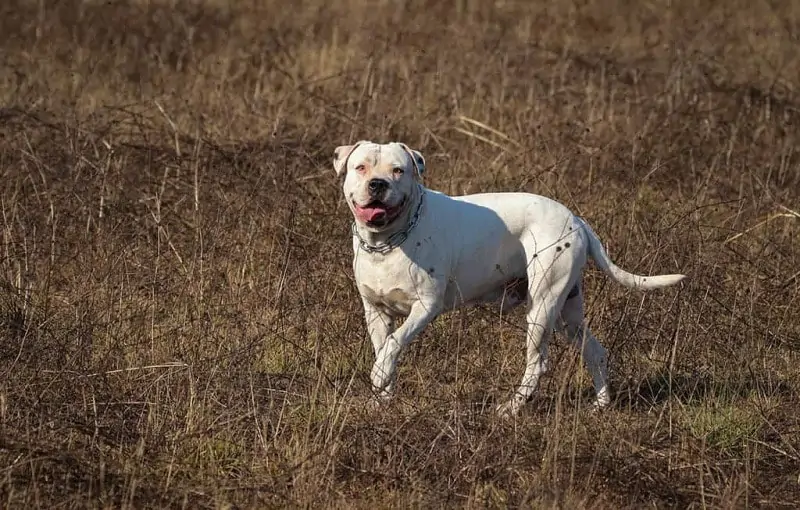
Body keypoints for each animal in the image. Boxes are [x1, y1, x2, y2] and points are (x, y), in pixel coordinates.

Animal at [334, 140, 684, 418]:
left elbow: (394, 343)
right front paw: (382, 399)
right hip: (567, 314)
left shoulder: (425, 307)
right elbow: (385, 347)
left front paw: (379, 376)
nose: (377, 184)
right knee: (595, 351)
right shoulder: (376, 312)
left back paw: (511, 407)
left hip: (542, 307)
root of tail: (576, 219)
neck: (387, 242)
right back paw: (600, 405)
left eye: (398, 170)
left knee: (538, 363)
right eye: (361, 167)